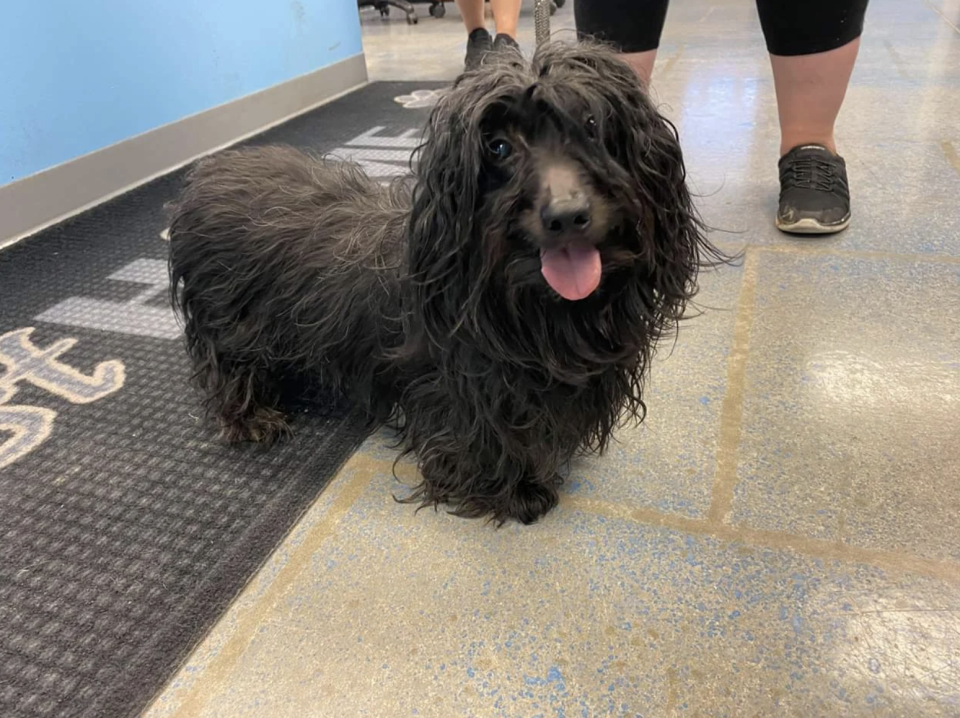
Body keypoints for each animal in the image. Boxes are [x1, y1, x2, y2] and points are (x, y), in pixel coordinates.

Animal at [169, 43, 724, 528]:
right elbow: (487, 439)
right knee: (227, 367)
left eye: (592, 125)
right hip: (230, 322)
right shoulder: (465, 389)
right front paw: (516, 492)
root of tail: (206, 173)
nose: (567, 216)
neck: (536, 304)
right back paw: (251, 417)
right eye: (498, 146)